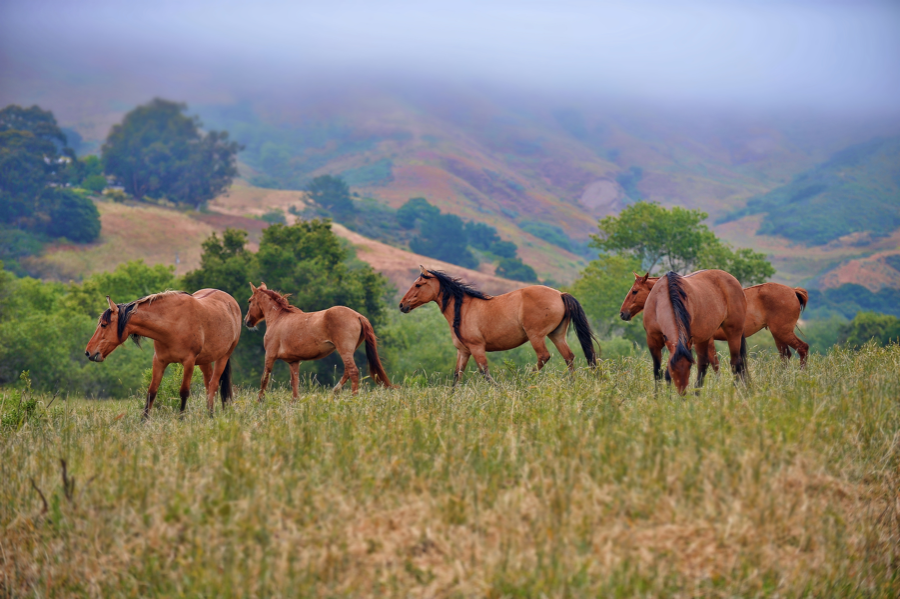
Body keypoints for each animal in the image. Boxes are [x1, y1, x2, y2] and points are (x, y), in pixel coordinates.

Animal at [85, 290, 243, 418]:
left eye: (104, 324)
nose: (88, 352)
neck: (173, 323)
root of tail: (231, 301)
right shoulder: (159, 361)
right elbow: (151, 392)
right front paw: (143, 422)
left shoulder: (189, 362)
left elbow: (184, 392)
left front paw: (181, 419)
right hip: (205, 360)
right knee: (208, 384)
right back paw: (209, 414)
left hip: (223, 357)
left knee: (214, 385)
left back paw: (211, 416)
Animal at [244, 284, 392, 400]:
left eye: (250, 301)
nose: (246, 321)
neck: (279, 318)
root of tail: (358, 315)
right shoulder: (293, 361)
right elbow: (295, 383)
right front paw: (294, 402)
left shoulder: (270, 355)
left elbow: (265, 379)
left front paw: (259, 401)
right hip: (349, 351)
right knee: (347, 372)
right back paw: (334, 392)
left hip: (344, 350)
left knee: (353, 372)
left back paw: (353, 398)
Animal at [400, 268, 596, 384]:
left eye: (418, 284)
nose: (402, 305)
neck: (462, 310)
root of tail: (560, 294)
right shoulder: (463, 351)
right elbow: (457, 376)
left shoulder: (477, 348)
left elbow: (485, 373)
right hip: (556, 335)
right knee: (569, 357)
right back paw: (572, 383)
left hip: (536, 336)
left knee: (544, 356)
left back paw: (524, 382)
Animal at [620, 276, 808, 368]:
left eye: (635, 291)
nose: (623, 313)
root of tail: (793, 291)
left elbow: (713, 363)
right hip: (778, 334)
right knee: (786, 355)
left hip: (782, 332)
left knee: (802, 348)